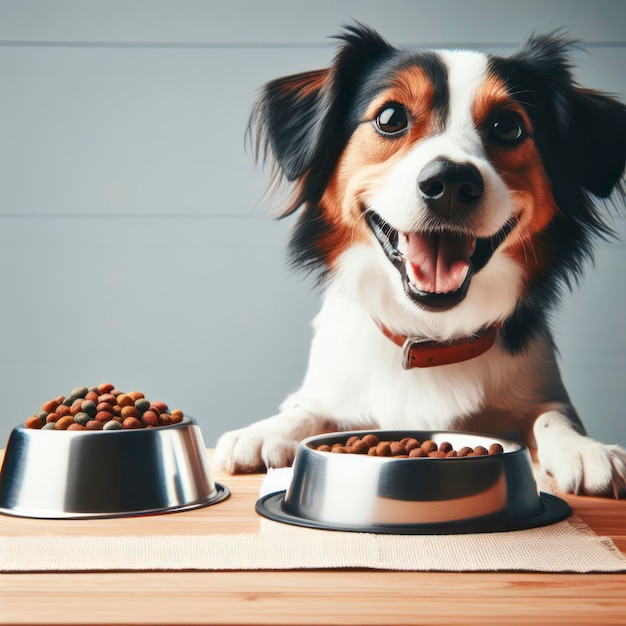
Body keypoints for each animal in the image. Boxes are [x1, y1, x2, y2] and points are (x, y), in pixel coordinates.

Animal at [214, 24, 624, 494]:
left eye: (508, 127)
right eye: (391, 117)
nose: (451, 183)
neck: (432, 335)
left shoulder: (543, 390)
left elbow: (551, 416)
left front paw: (585, 449)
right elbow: (308, 406)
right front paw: (266, 431)